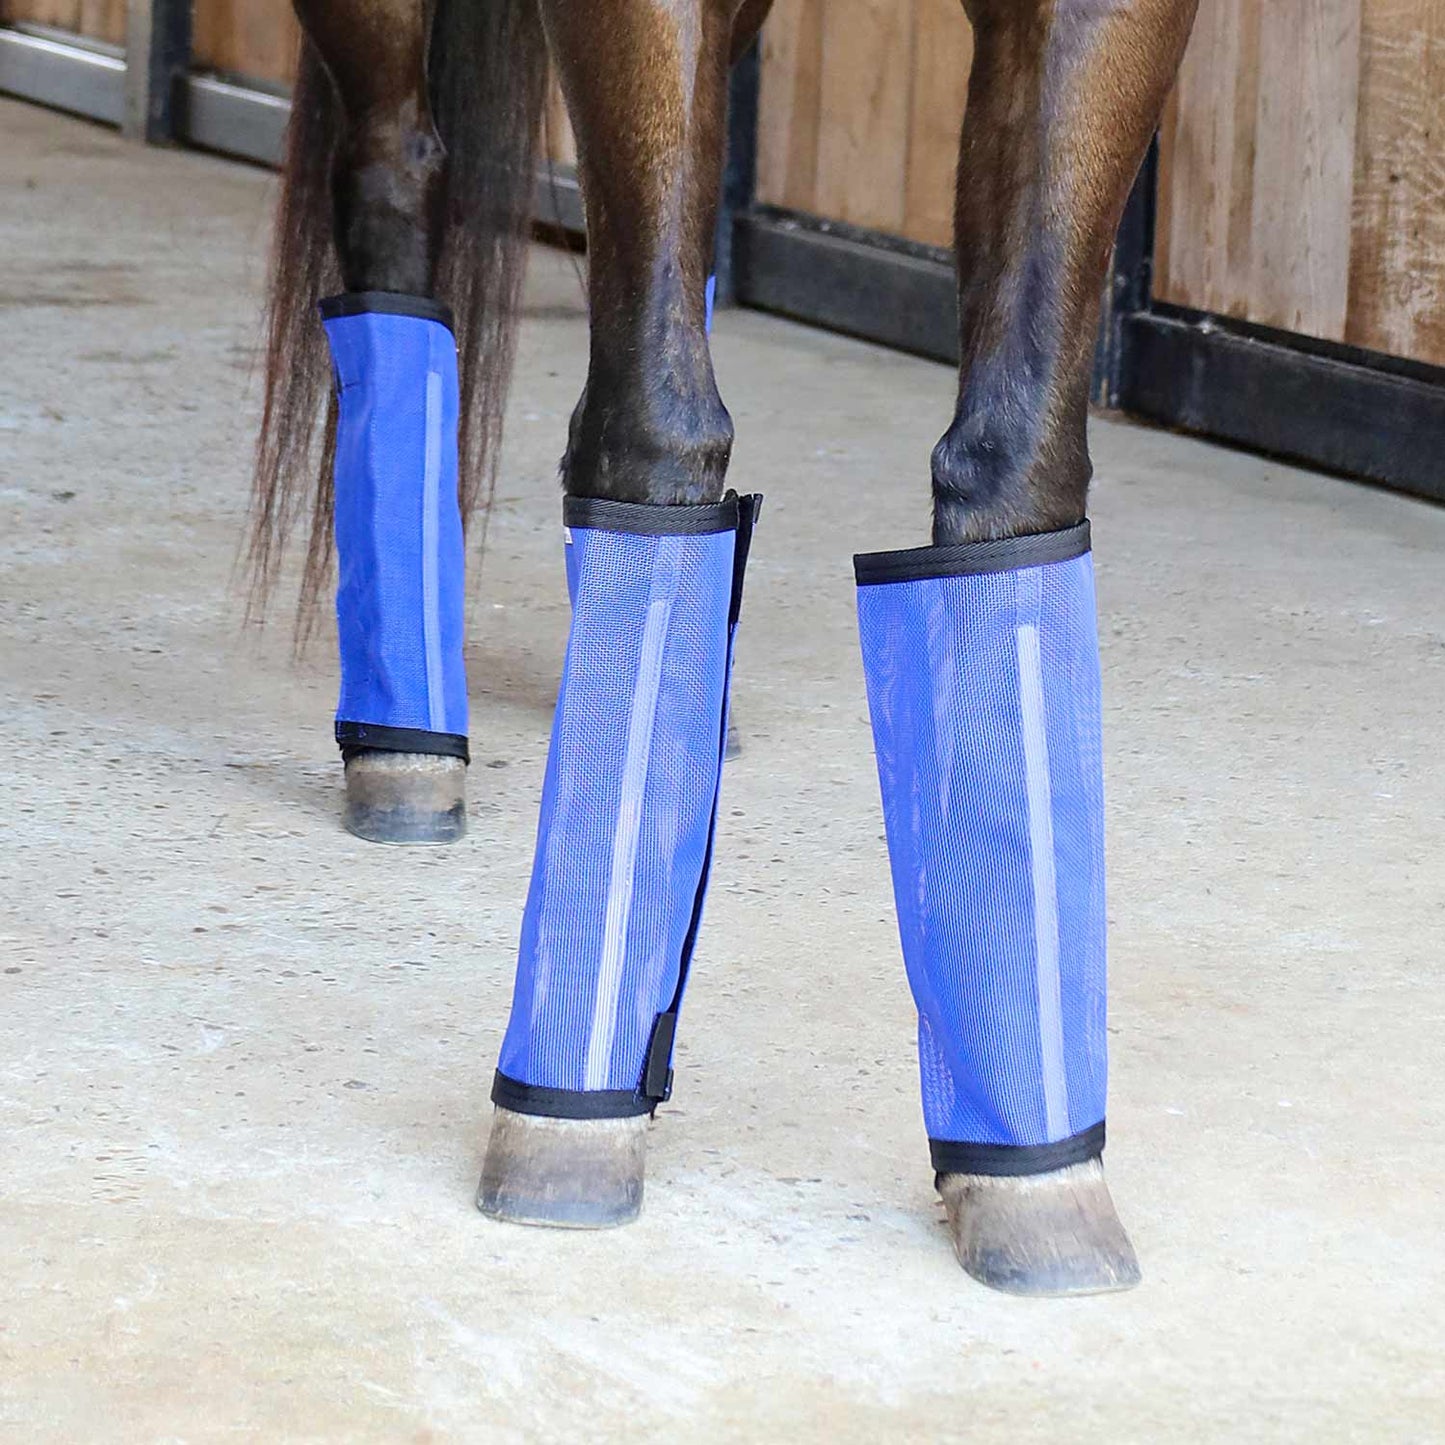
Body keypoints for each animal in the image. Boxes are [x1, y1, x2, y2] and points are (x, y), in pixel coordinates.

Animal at [247, 0, 1199, 1297]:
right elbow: (653, 429)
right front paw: (566, 1120)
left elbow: (1013, 465)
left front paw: (1034, 1175)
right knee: (398, 181)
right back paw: (407, 747)